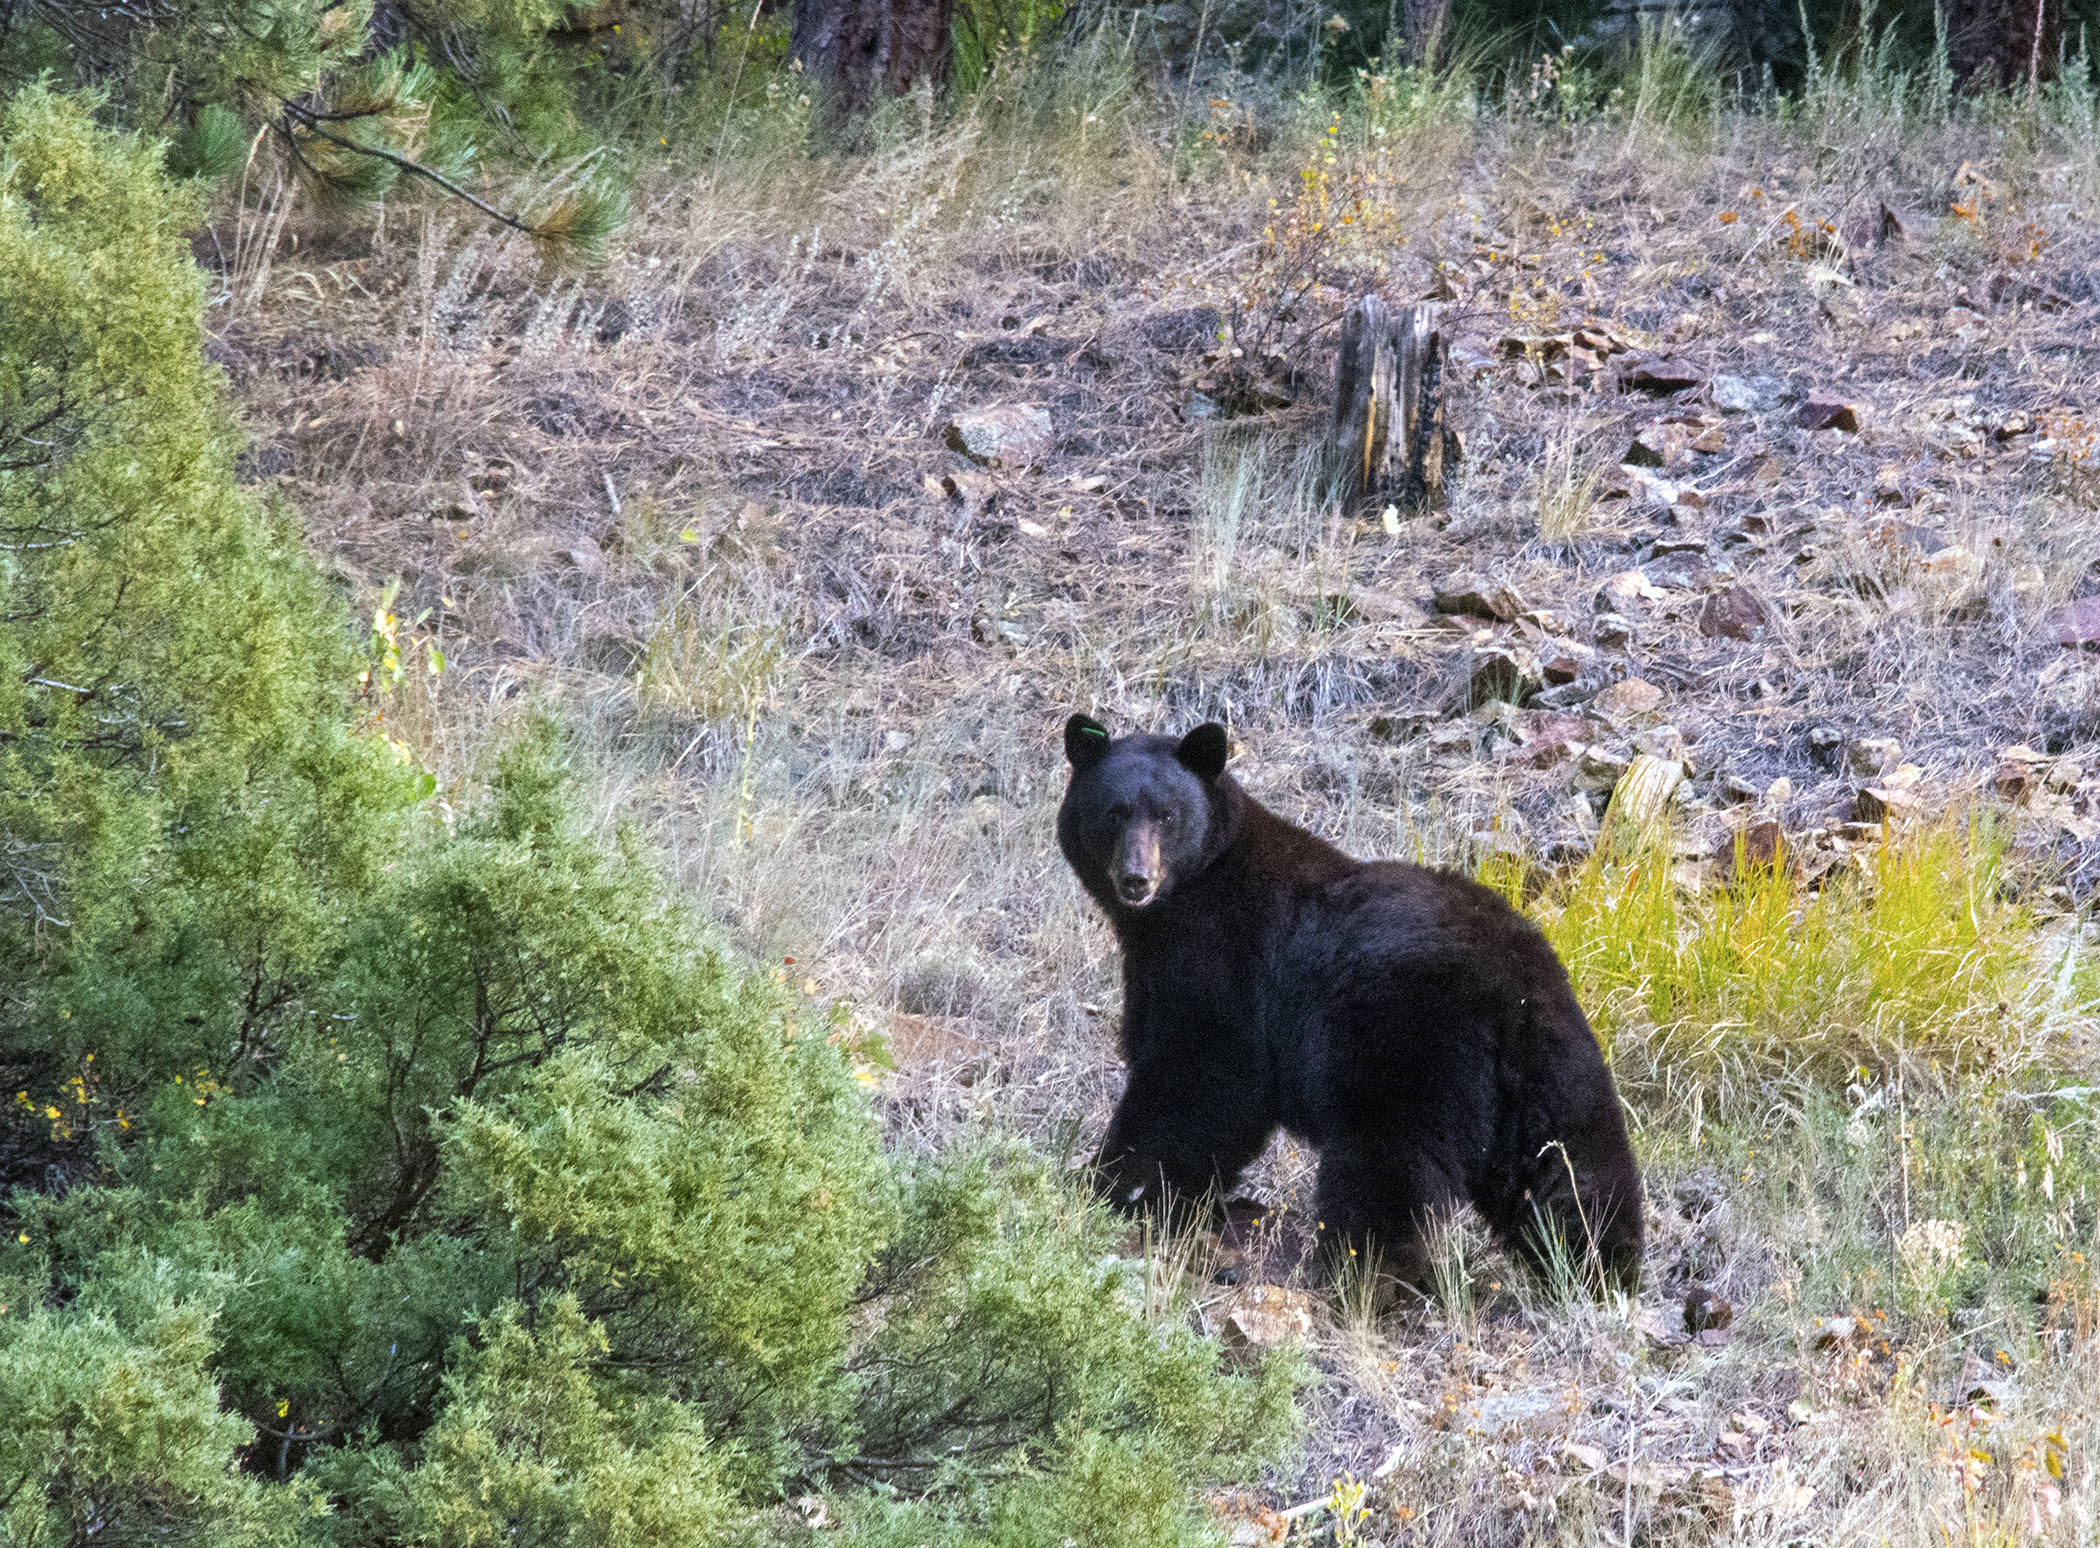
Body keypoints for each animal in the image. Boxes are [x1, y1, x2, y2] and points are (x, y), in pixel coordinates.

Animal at [1057, 713, 1643, 1293]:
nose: (1136, 878)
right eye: (1113, 812)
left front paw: (1116, 1184)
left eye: (1167, 815)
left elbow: (1196, 1081)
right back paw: (1603, 1263)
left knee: (1386, 1167)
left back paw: (1366, 1276)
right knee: (1573, 1161)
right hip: (1554, 1061)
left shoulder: (1224, 963)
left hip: (1403, 1046)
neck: (1182, 898)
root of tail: (1510, 990)